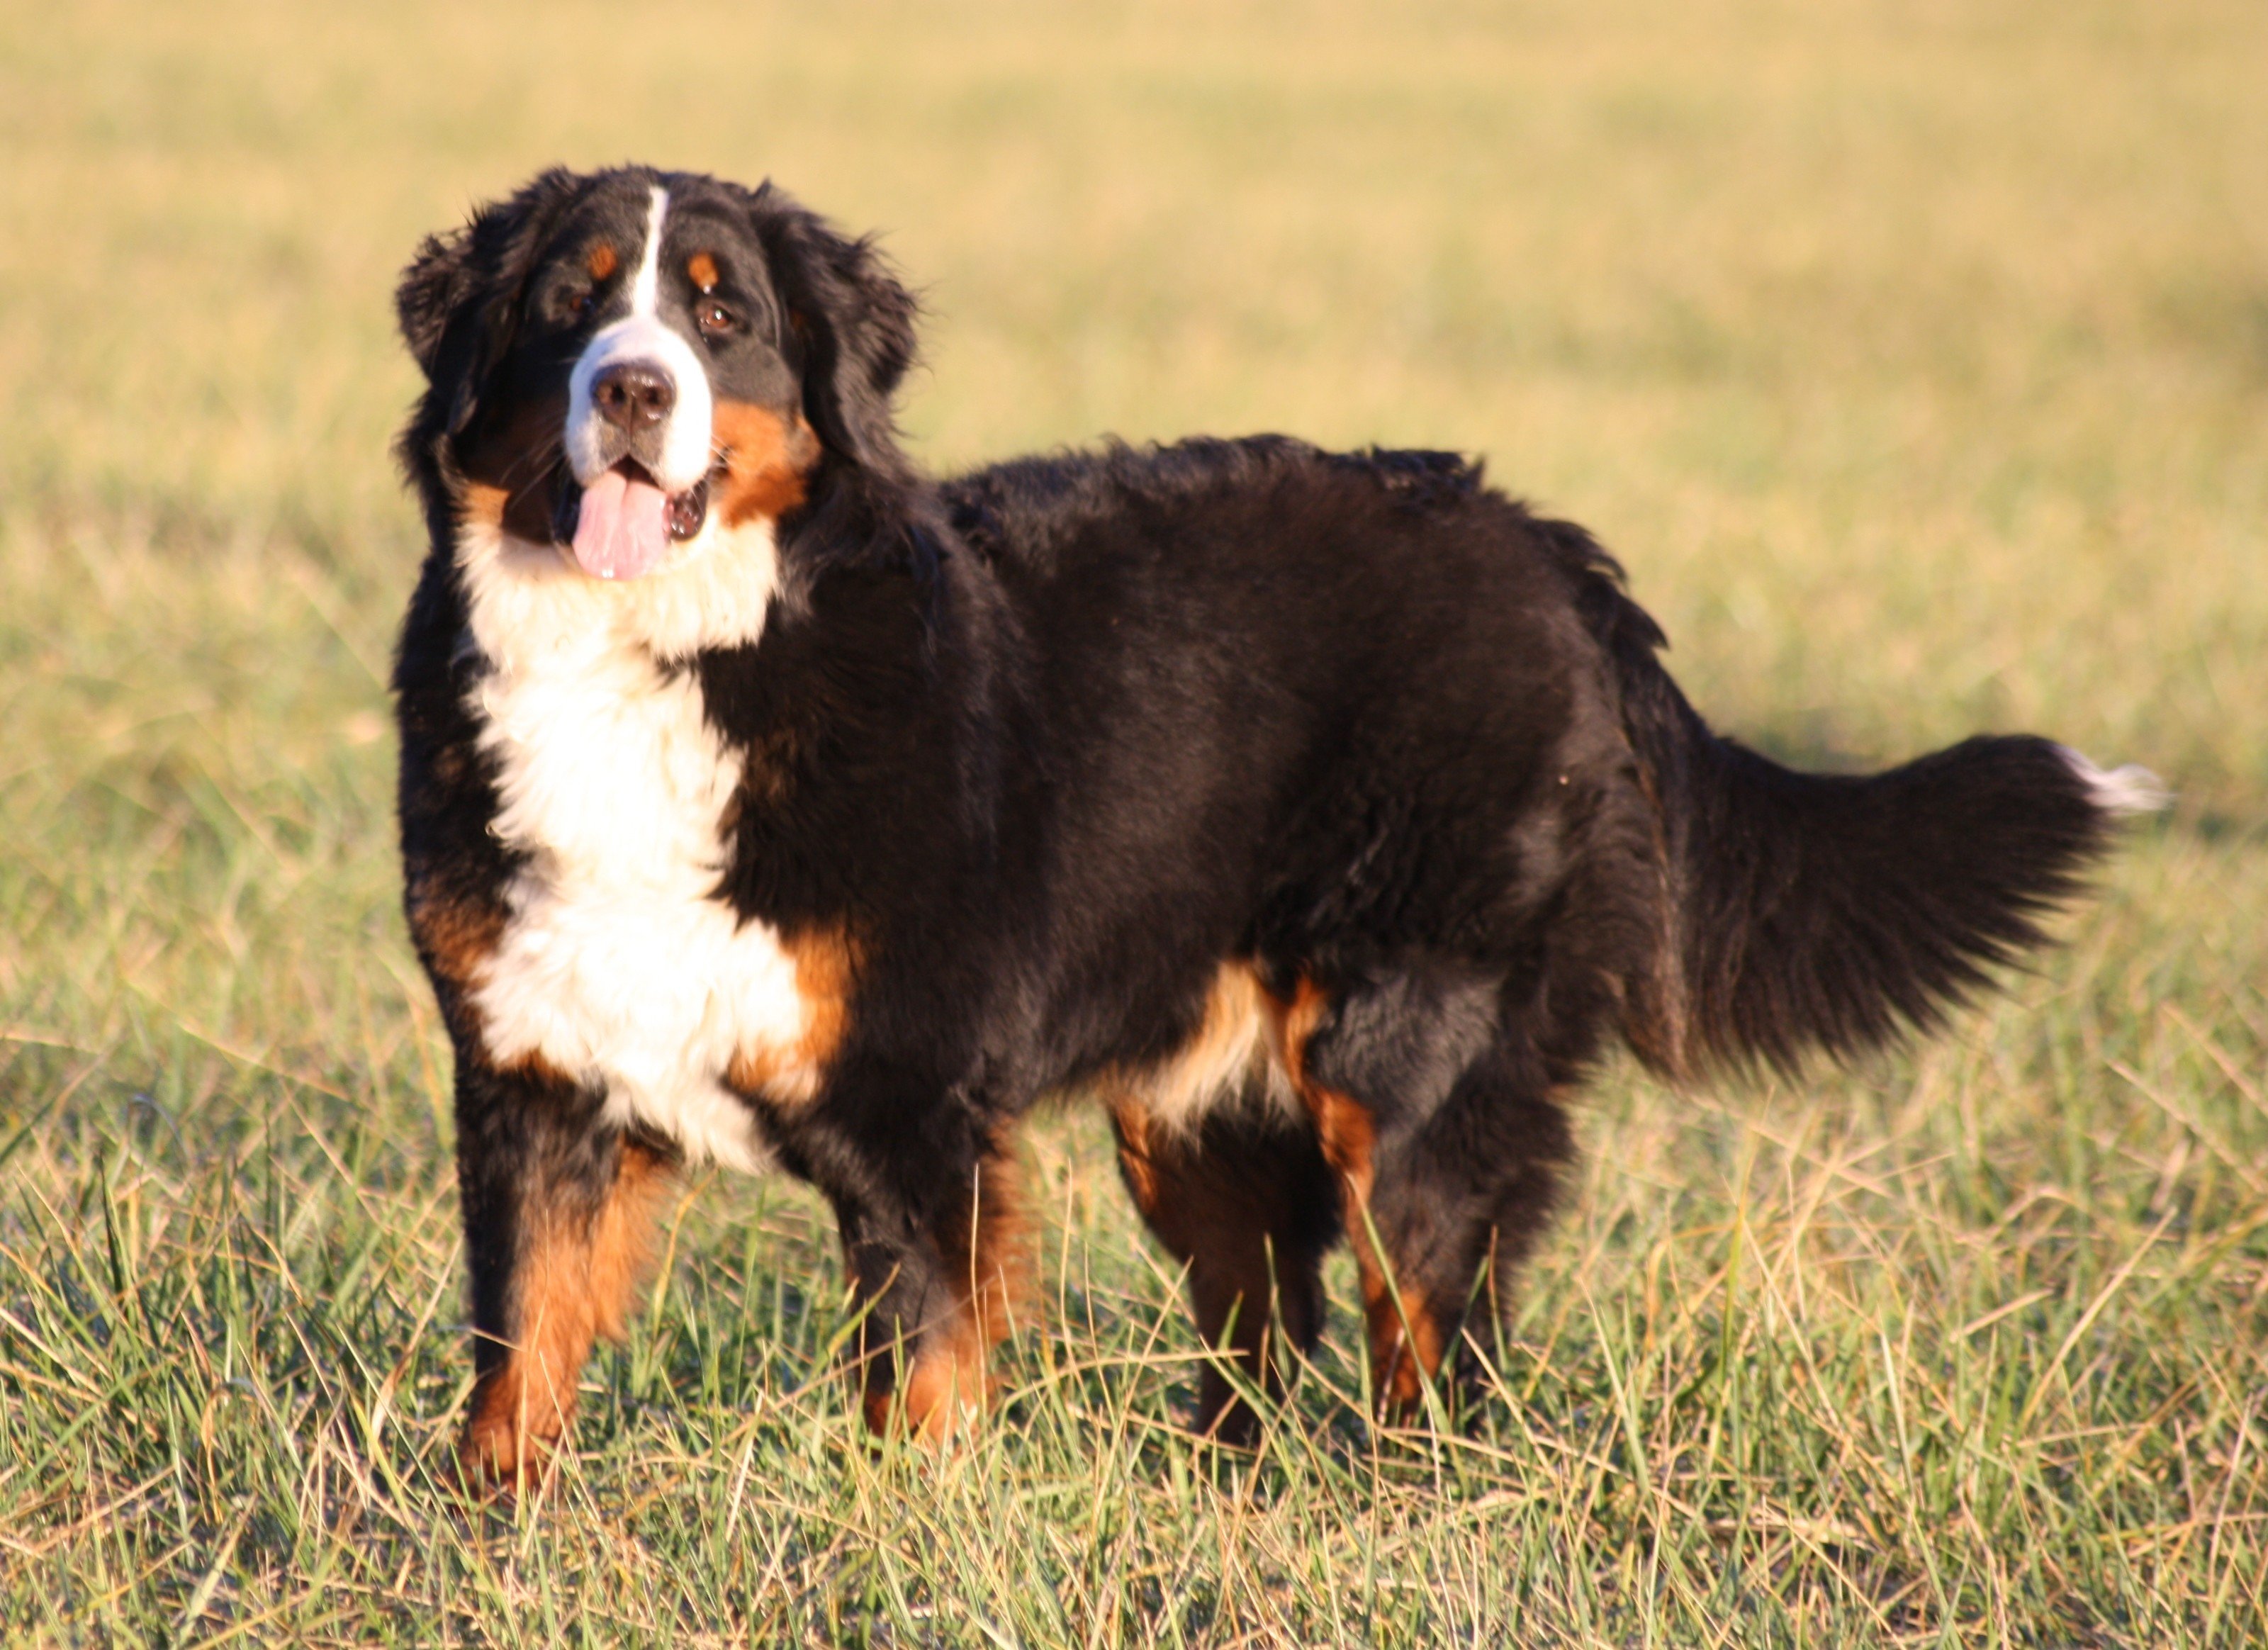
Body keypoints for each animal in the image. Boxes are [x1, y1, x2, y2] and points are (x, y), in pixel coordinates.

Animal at [390, 164, 2159, 1486]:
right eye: (568, 302)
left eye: (721, 314)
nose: (631, 389)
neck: (667, 660)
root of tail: (1543, 546)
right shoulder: (534, 1075)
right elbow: (516, 1358)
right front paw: (490, 1544)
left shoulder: (910, 1111)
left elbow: (921, 1388)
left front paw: (901, 1547)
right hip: (1194, 1105)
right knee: (1264, 1325)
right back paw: (1222, 1496)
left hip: (1408, 1060)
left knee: (1427, 1338)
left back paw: (1413, 1516)